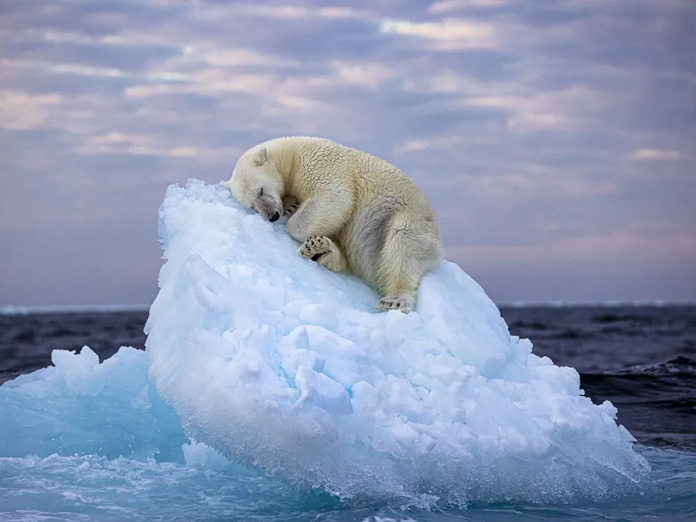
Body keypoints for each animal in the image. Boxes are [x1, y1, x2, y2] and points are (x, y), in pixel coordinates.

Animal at [228, 136, 446, 310]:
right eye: (252, 206)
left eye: (261, 190)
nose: (272, 215)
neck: (291, 155)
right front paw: (291, 206)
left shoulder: (319, 165)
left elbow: (335, 198)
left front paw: (293, 217)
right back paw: (318, 249)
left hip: (406, 217)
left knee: (403, 245)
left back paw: (395, 300)